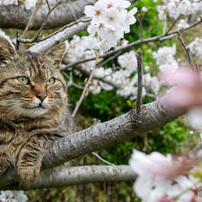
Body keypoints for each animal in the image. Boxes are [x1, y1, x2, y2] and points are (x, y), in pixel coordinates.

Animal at [0, 36, 74, 181]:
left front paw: (27, 168)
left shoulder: (62, 134)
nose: (42, 96)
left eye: (50, 81)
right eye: (23, 79)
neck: (21, 123)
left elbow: (37, 139)